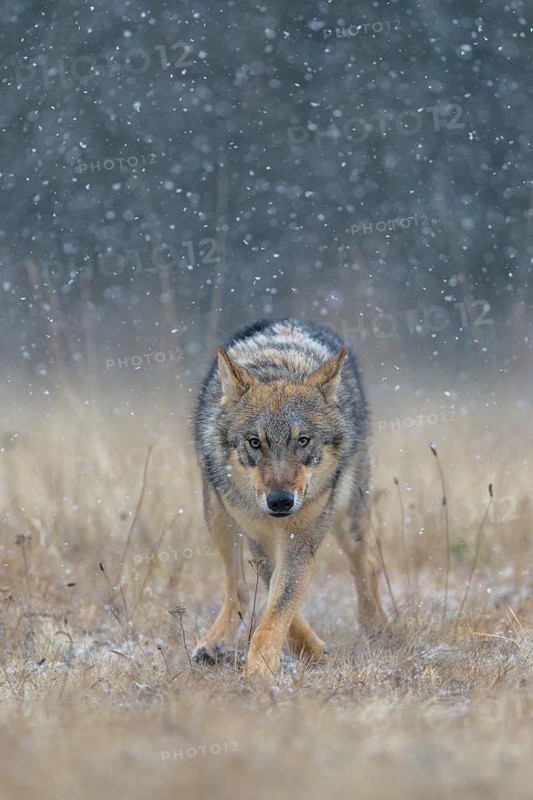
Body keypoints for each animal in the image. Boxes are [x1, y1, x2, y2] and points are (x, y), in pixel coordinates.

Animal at [192, 318, 385, 680]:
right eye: (255, 442)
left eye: (303, 440)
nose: (280, 502)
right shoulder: (261, 539)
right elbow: (279, 608)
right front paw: (309, 653)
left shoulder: (300, 539)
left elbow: (275, 615)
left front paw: (257, 675)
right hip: (217, 516)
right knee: (237, 587)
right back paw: (213, 644)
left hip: (348, 517)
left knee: (366, 564)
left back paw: (379, 629)